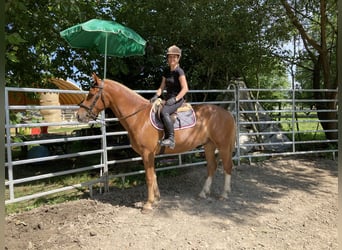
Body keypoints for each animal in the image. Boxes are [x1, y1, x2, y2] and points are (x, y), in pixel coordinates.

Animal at [76, 73, 236, 212]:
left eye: (91, 94)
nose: (79, 115)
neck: (139, 116)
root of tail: (227, 113)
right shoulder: (149, 154)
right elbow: (153, 175)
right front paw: (157, 198)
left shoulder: (147, 153)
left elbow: (148, 177)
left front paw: (148, 204)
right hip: (209, 145)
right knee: (212, 167)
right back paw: (203, 193)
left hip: (223, 146)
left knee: (227, 166)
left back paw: (224, 194)